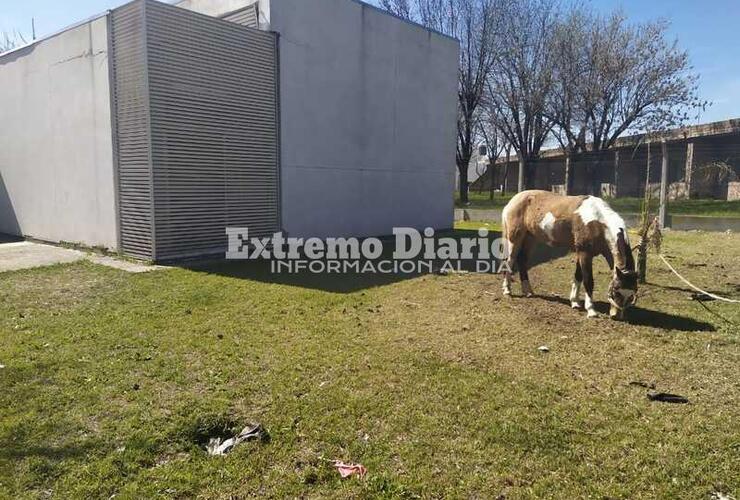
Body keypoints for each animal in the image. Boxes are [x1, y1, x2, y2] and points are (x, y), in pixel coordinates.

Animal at [500, 189, 640, 318]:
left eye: (631, 295)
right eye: (616, 290)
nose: (617, 315)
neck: (598, 222)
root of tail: (513, 200)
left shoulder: (580, 253)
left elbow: (578, 276)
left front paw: (575, 302)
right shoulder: (585, 253)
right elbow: (588, 280)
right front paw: (591, 310)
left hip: (530, 238)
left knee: (522, 261)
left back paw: (528, 291)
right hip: (514, 238)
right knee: (510, 261)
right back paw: (507, 290)